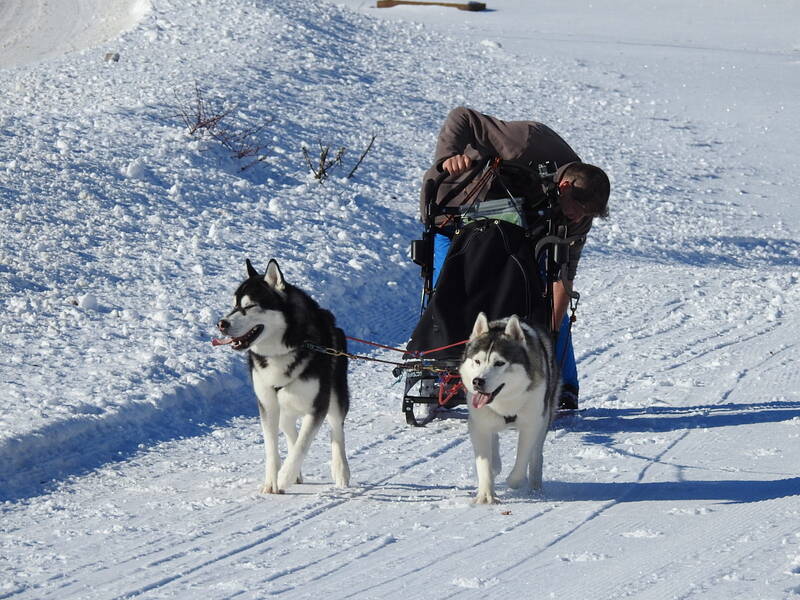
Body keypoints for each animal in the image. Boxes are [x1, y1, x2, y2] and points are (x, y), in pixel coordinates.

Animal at [214, 260, 348, 494]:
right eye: (233, 306)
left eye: (250, 306)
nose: (221, 323)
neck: (283, 350)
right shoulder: (267, 404)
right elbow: (272, 447)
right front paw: (272, 480)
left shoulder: (318, 405)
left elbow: (303, 444)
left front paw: (284, 476)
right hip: (284, 405)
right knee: (289, 429)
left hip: (334, 395)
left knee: (336, 429)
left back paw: (340, 471)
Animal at [460, 312, 560, 504]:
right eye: (477, 361)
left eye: (499, 363)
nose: (477, 381)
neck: (504, 403)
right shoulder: (479, 425)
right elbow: (484, 462)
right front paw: (486, 495)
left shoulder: (532, 424)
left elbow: (522, 459)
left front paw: (514, 481)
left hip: (545, 416)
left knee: (536, 454)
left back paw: (535, 486)